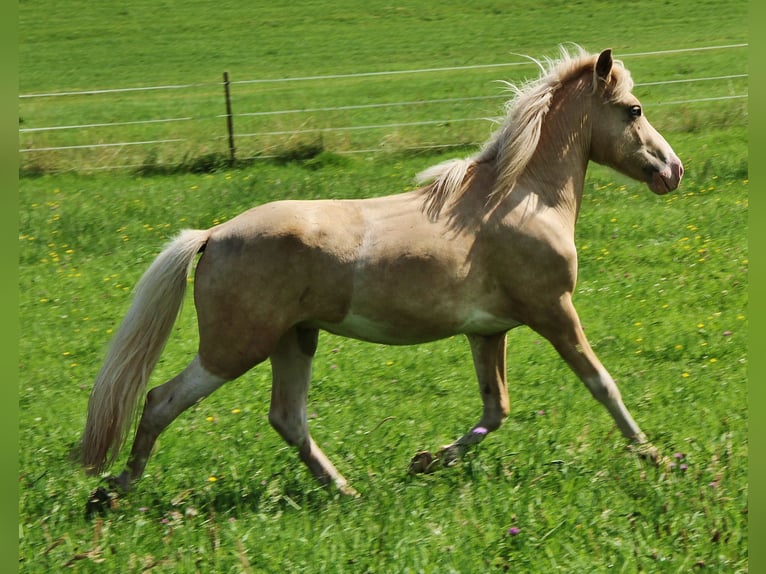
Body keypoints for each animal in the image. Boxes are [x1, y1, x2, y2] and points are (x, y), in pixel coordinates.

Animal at [82, 47, 684, 502]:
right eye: (633, 109)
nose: (672, 170)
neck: (522, 199)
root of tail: (212, 236)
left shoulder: (488, 331)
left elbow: (495, 410)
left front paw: (424, 461)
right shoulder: (553, 310)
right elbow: (602, 384)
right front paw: (658, 458)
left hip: (294, 339)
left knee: (287, 418)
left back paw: (346, 491)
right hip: (234, 348)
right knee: (161, 400)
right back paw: (113, 490)